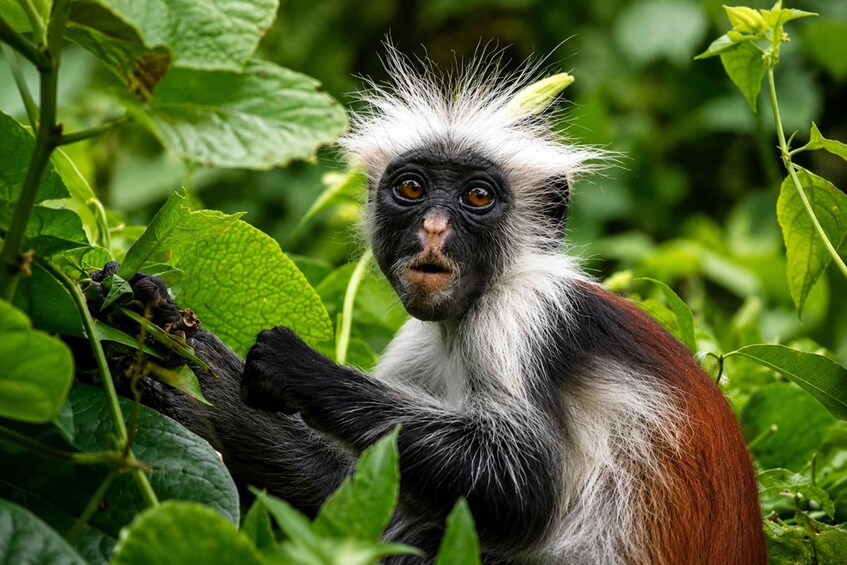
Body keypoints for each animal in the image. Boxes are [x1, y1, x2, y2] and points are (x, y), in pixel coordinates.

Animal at [111, 49, 766, 564]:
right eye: (412, 188)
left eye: (477, 197)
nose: (431, 228)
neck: (472, 307)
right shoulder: (420, 337)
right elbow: (354, 498)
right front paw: (199, 374)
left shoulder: (525, 315)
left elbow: (522, 485)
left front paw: (294, 370)